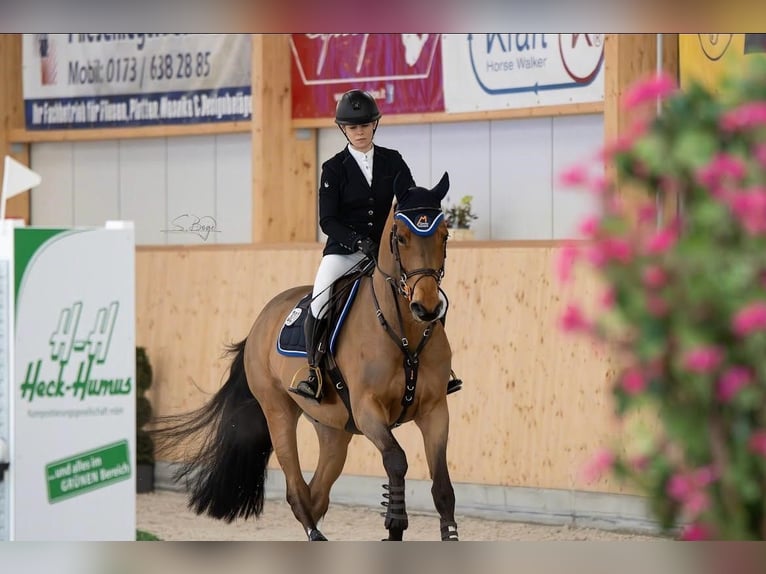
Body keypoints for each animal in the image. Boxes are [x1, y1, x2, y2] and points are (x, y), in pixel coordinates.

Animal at [153, 173, 460, 544]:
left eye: (444, 236)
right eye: (401, 237)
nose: (426, 308)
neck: (403, 332)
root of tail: (261, 321)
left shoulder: (435, 410)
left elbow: (442, 486)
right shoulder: (368, 409)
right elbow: (396, 460)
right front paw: (394, 525)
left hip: (334, 429)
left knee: (318, 492)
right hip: (278, 413)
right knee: (297, 490)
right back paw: (314, 532)